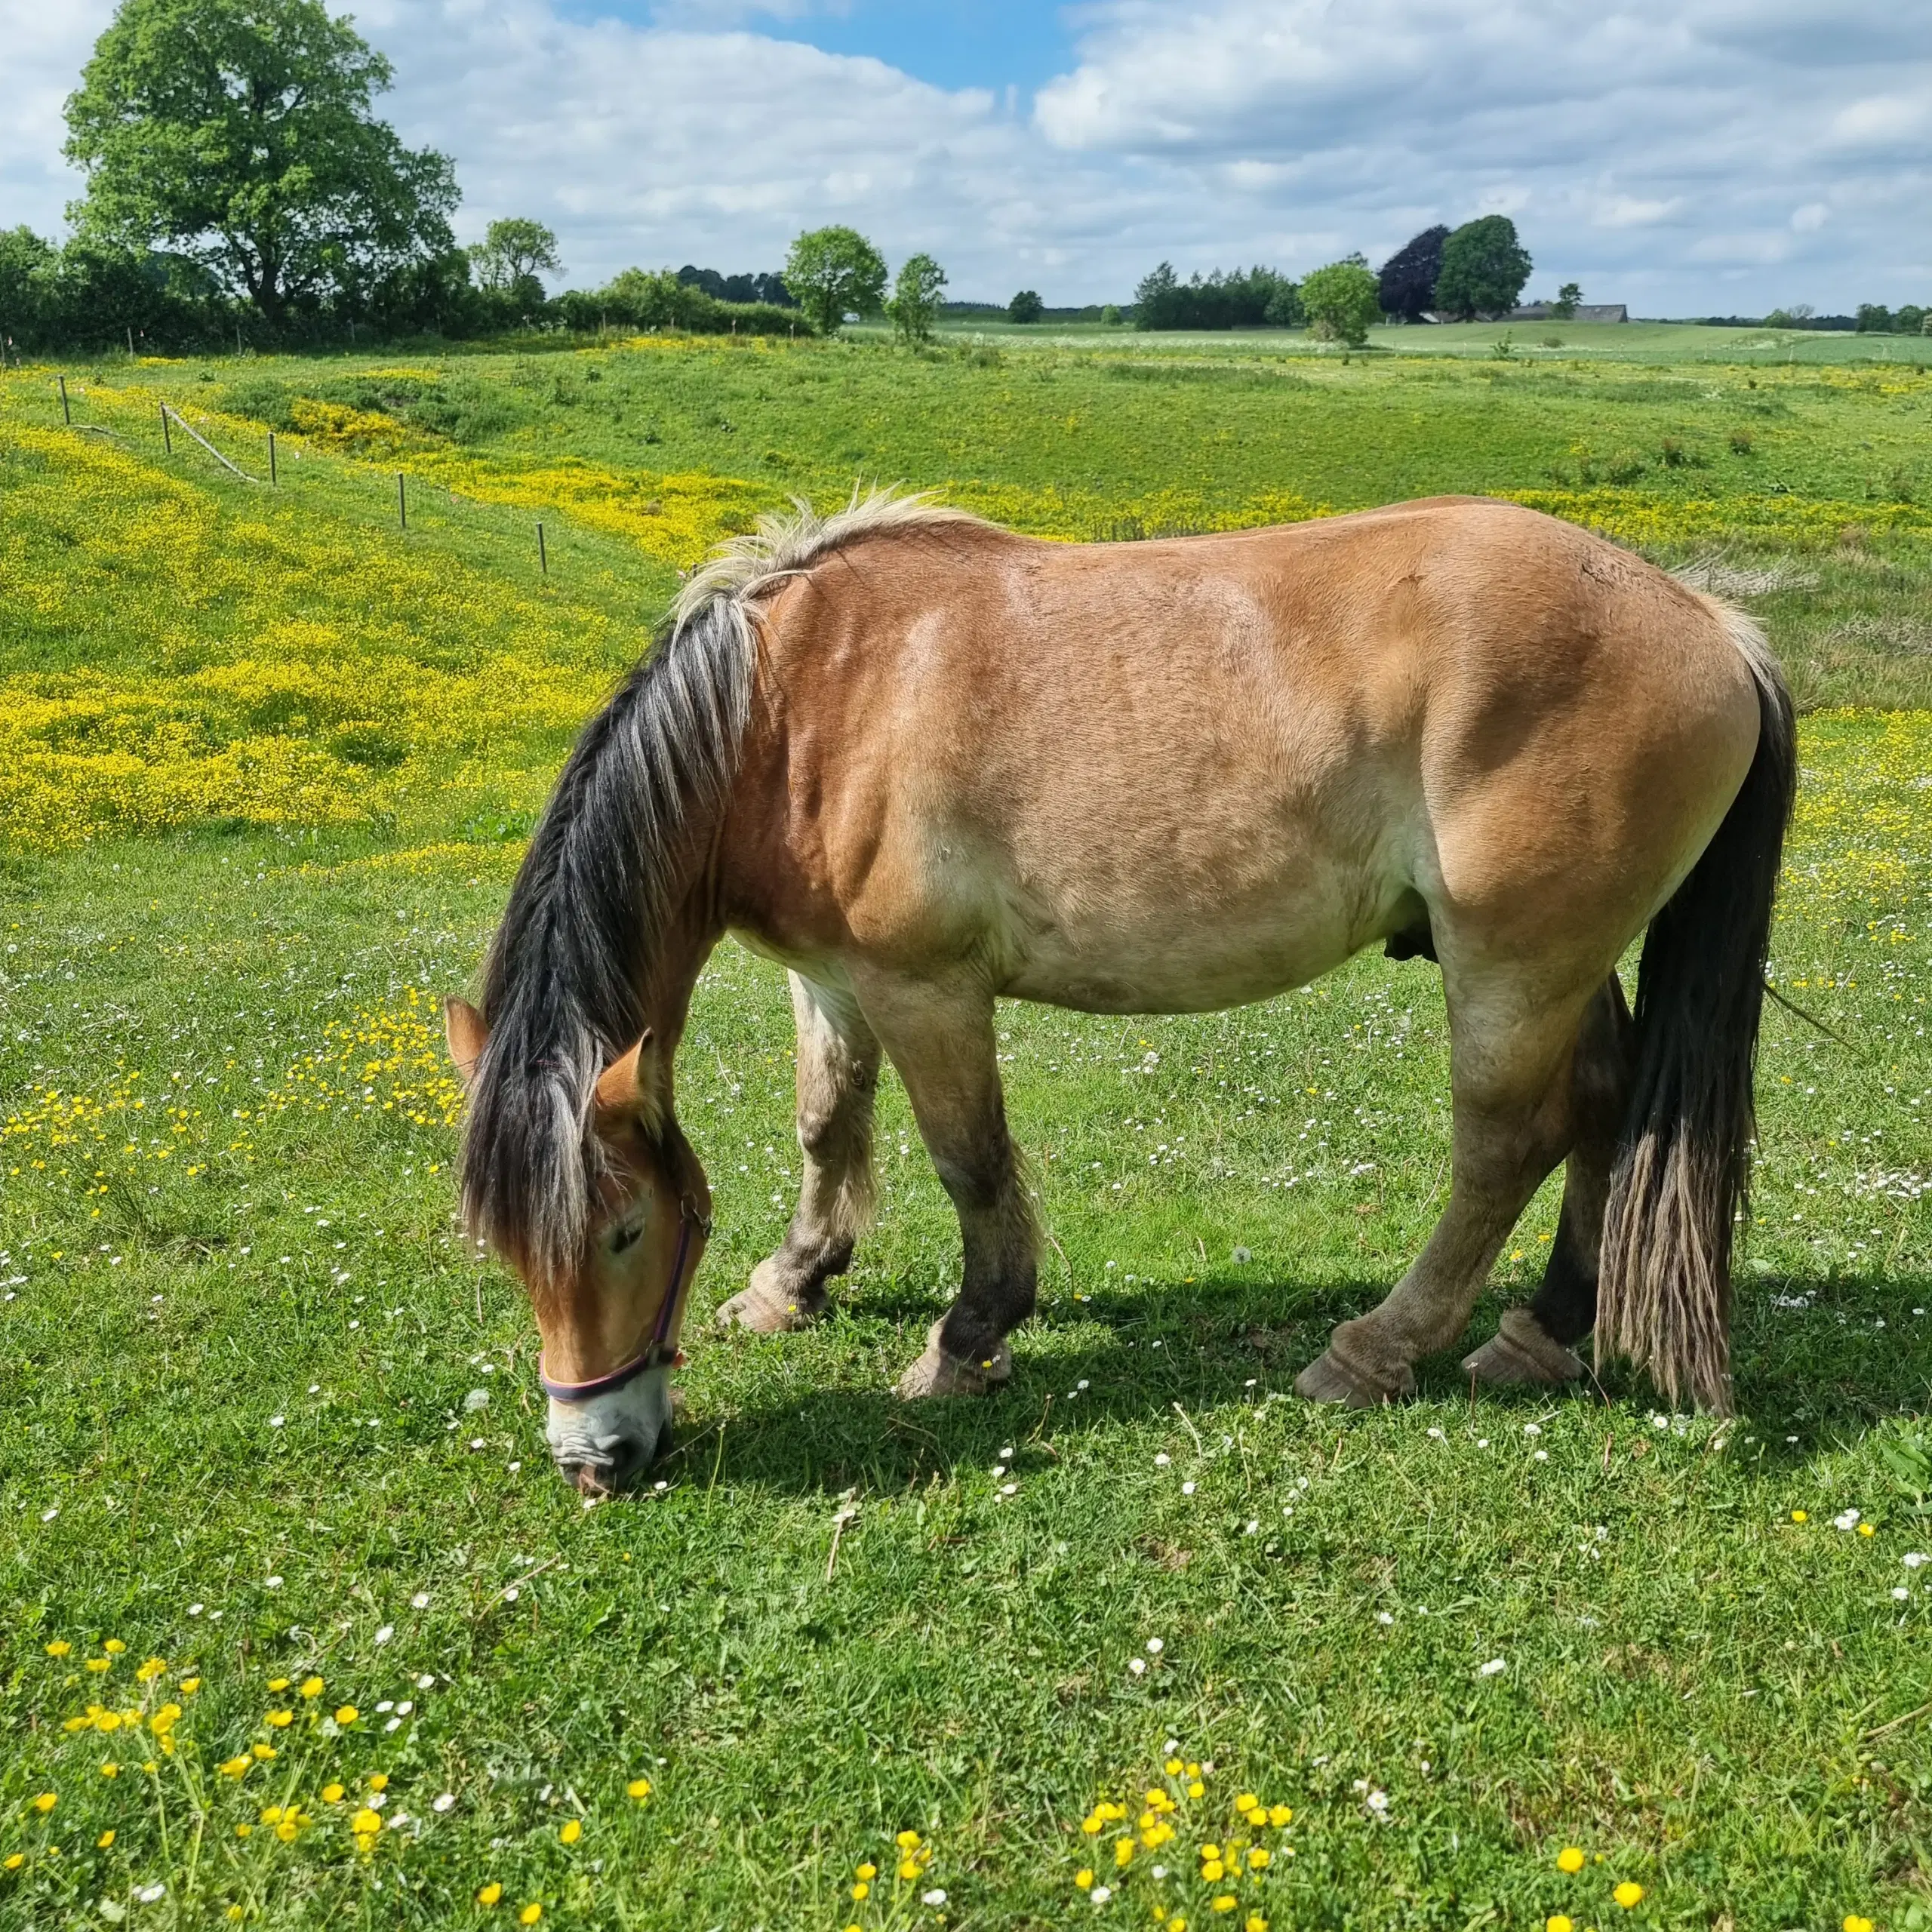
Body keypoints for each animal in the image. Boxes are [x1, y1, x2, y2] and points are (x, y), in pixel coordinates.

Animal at [442, 487, 1792, 1491]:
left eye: (622, 1230)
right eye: (504, 1247)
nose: (596, 1459)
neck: (799, 708)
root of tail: (1713, 625)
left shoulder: (924, 990)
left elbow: (969, 1165)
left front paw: (969, 1339)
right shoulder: (829, 985)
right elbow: (828, 1127)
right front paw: (792, 1284)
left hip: (1512, 966)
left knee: (1505, 1148)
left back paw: (1372, 1352)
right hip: (1570, 965)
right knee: (1606, 1107)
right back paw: (1544, 1333)